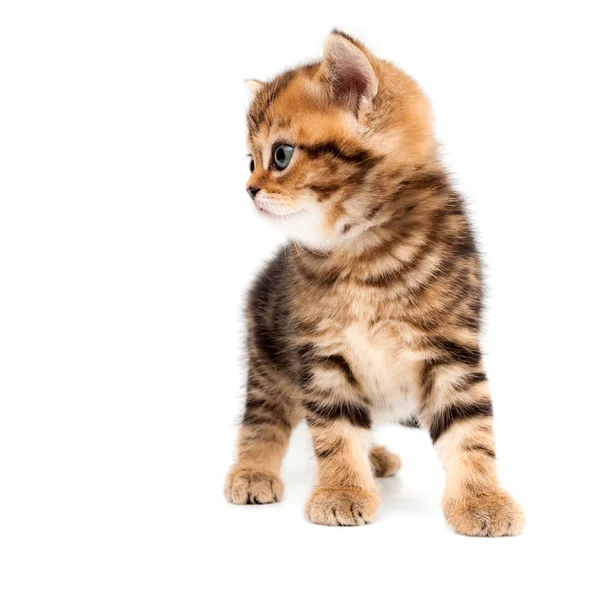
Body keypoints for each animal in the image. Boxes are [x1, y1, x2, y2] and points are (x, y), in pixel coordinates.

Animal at [223, 28, 524, 536]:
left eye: (280, 156)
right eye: (250, 162)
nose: (249, 189)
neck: (364, 253)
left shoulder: (451, 349)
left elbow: (470, 429)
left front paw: (482, 500)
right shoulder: (322, 355)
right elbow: (334, 429)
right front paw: (342, 490)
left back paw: (375, 457)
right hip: (268, 355)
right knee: (264, 417)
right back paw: (253, 471)